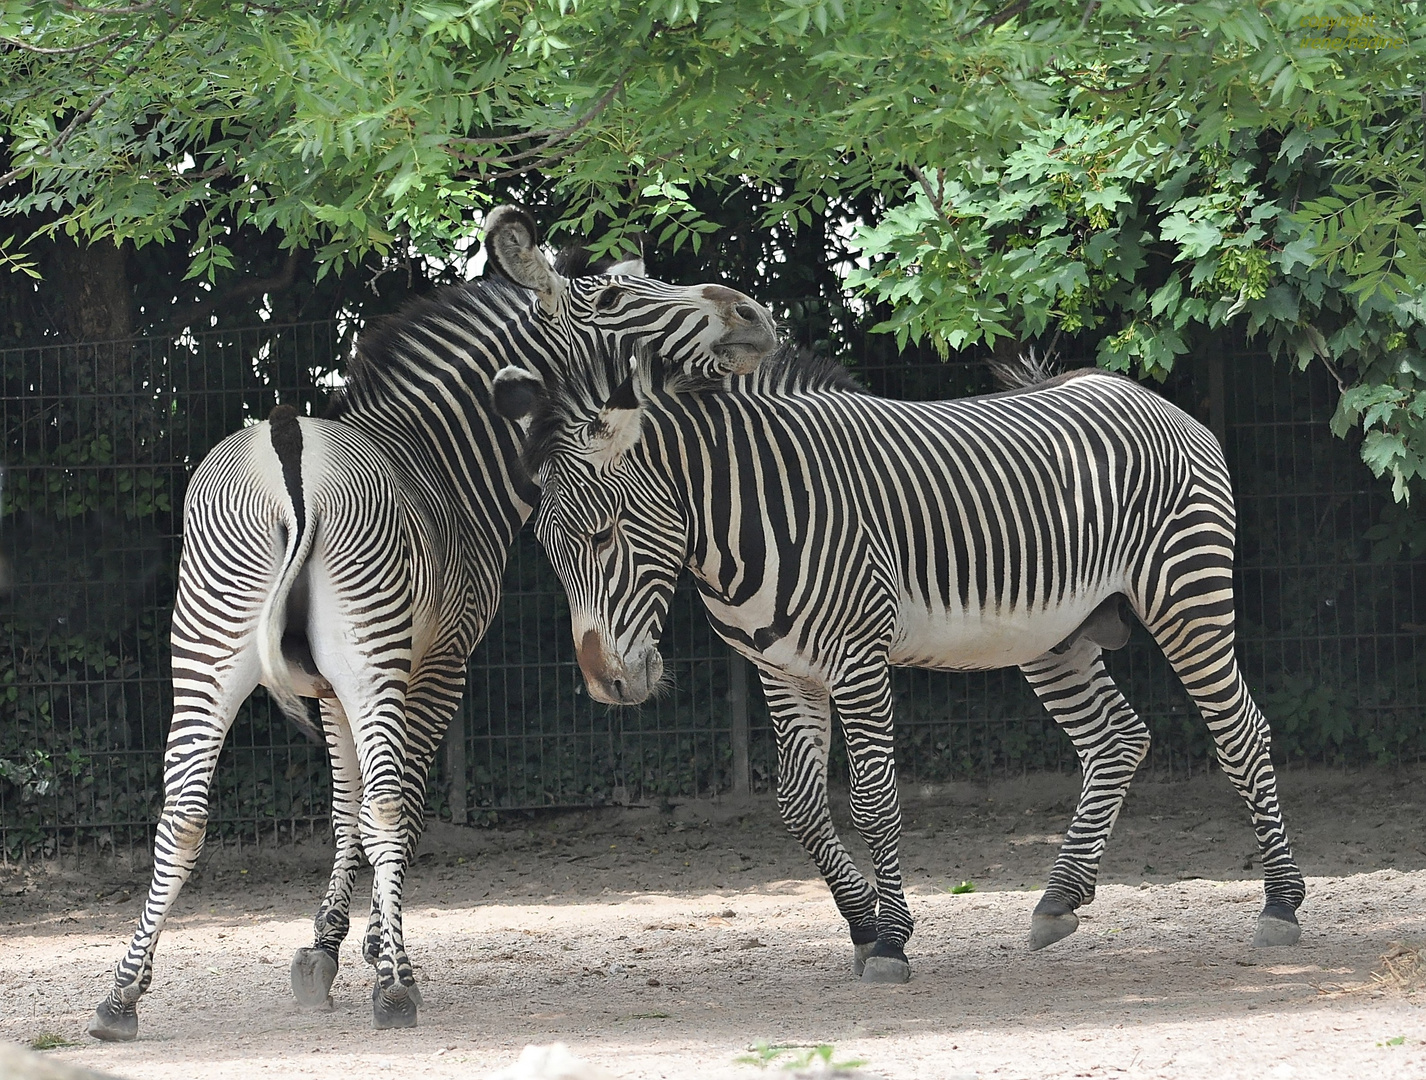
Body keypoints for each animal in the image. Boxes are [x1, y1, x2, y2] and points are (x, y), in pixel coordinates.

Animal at [86, 206, 781, 1038]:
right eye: (615, 299)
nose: (754, 316)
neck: (446, 458)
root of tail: (287, 445)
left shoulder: (326, 687)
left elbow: (344, 805)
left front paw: (326, 948)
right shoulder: (440, 660)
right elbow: (394, 805)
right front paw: (378, 953)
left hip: (206, 646)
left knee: (183, 813)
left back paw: (121, 996)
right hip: (367, 654)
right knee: (388, 805)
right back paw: (396, 992)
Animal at [496, 345, 1306, 987]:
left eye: (604, 534)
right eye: (545, 544)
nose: (608, 685)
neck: (742, 523)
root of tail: (1149, 396)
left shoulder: (858, 657)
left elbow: (873, 799)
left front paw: (889, 941)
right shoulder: (781, 671)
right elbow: (798, 803)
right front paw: (862, 925)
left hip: (1186, 593)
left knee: (1241, 732)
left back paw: (1282, 904)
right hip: (1058, 634)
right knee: (1118, 741)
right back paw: (1058, 900)